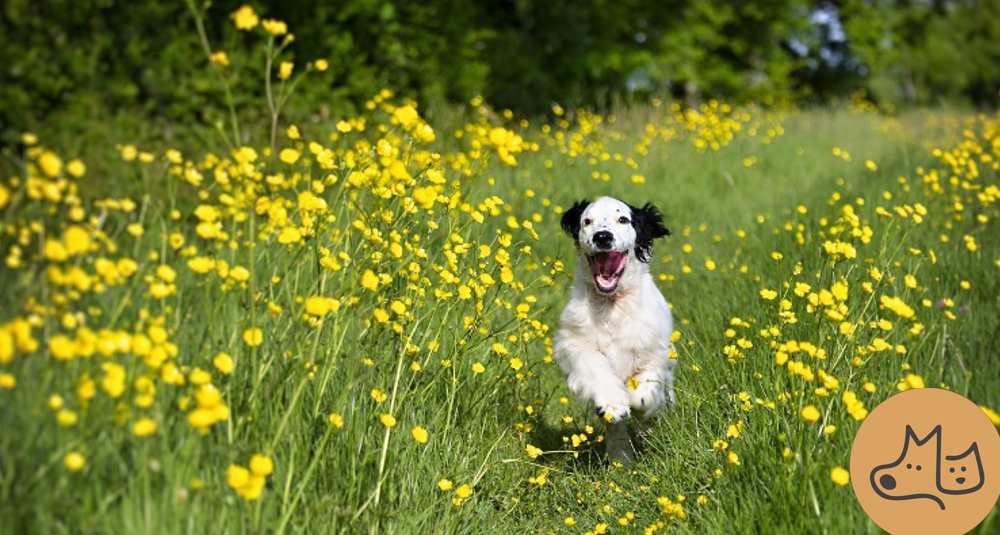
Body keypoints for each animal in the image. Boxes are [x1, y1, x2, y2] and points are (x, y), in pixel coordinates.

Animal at [552, 197, 676, 464]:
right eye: (587, 221)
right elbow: (595, 368)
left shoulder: (656, 345)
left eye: (623, 219)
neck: (611, 305)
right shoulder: (573, 342)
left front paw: (640, 398)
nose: (602, 237)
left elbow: (649, 380)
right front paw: (613, 405)